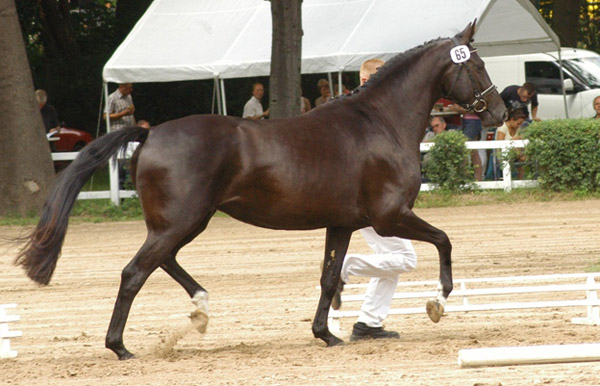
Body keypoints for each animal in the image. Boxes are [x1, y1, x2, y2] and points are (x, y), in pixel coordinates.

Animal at [16, 21, 506, 358]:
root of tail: (150, 133)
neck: (379, 122)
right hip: (181, 221)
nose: (499, 113)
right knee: (135, 273)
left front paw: (326, 333)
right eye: (477, 64)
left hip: (183, 222)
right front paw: (437, 301)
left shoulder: (343, 224)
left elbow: (330, 276)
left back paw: (201, 308)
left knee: (163, 262)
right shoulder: (390, 217)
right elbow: (444, 241)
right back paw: (120, 346)